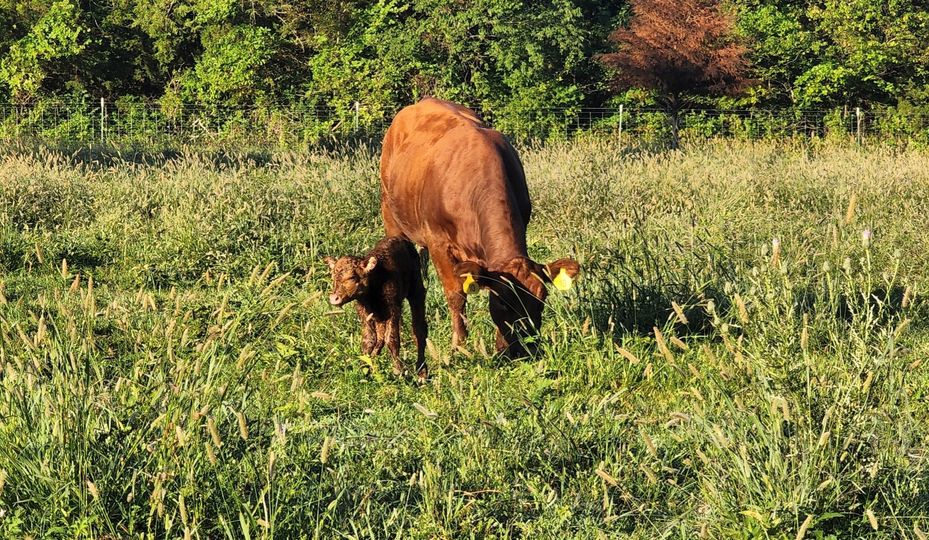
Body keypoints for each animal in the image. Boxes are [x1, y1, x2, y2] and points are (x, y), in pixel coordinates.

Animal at [379, 97, 579, 357]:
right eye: (503, 301)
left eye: (542, 297)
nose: (525, 348)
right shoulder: (438, 242)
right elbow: (456, 295)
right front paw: (459, 345)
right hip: (390, 215)